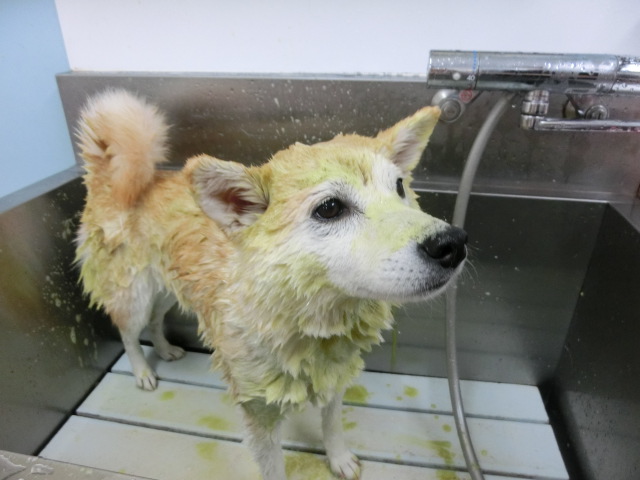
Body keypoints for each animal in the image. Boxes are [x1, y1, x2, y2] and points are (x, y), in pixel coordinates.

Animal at [75, 89, 467, 480]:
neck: (307, 319)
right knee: (129, 333)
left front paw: (339, 458)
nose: (451, 244)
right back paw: (142, 372)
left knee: (156, 321)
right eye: (330, 208)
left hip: (167, 291)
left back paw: (166, 349)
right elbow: (273, 465)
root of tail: (114, 183)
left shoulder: (334, 371)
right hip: (135, 296)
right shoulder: (259, 406)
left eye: (399, 186)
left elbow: (332, 423)